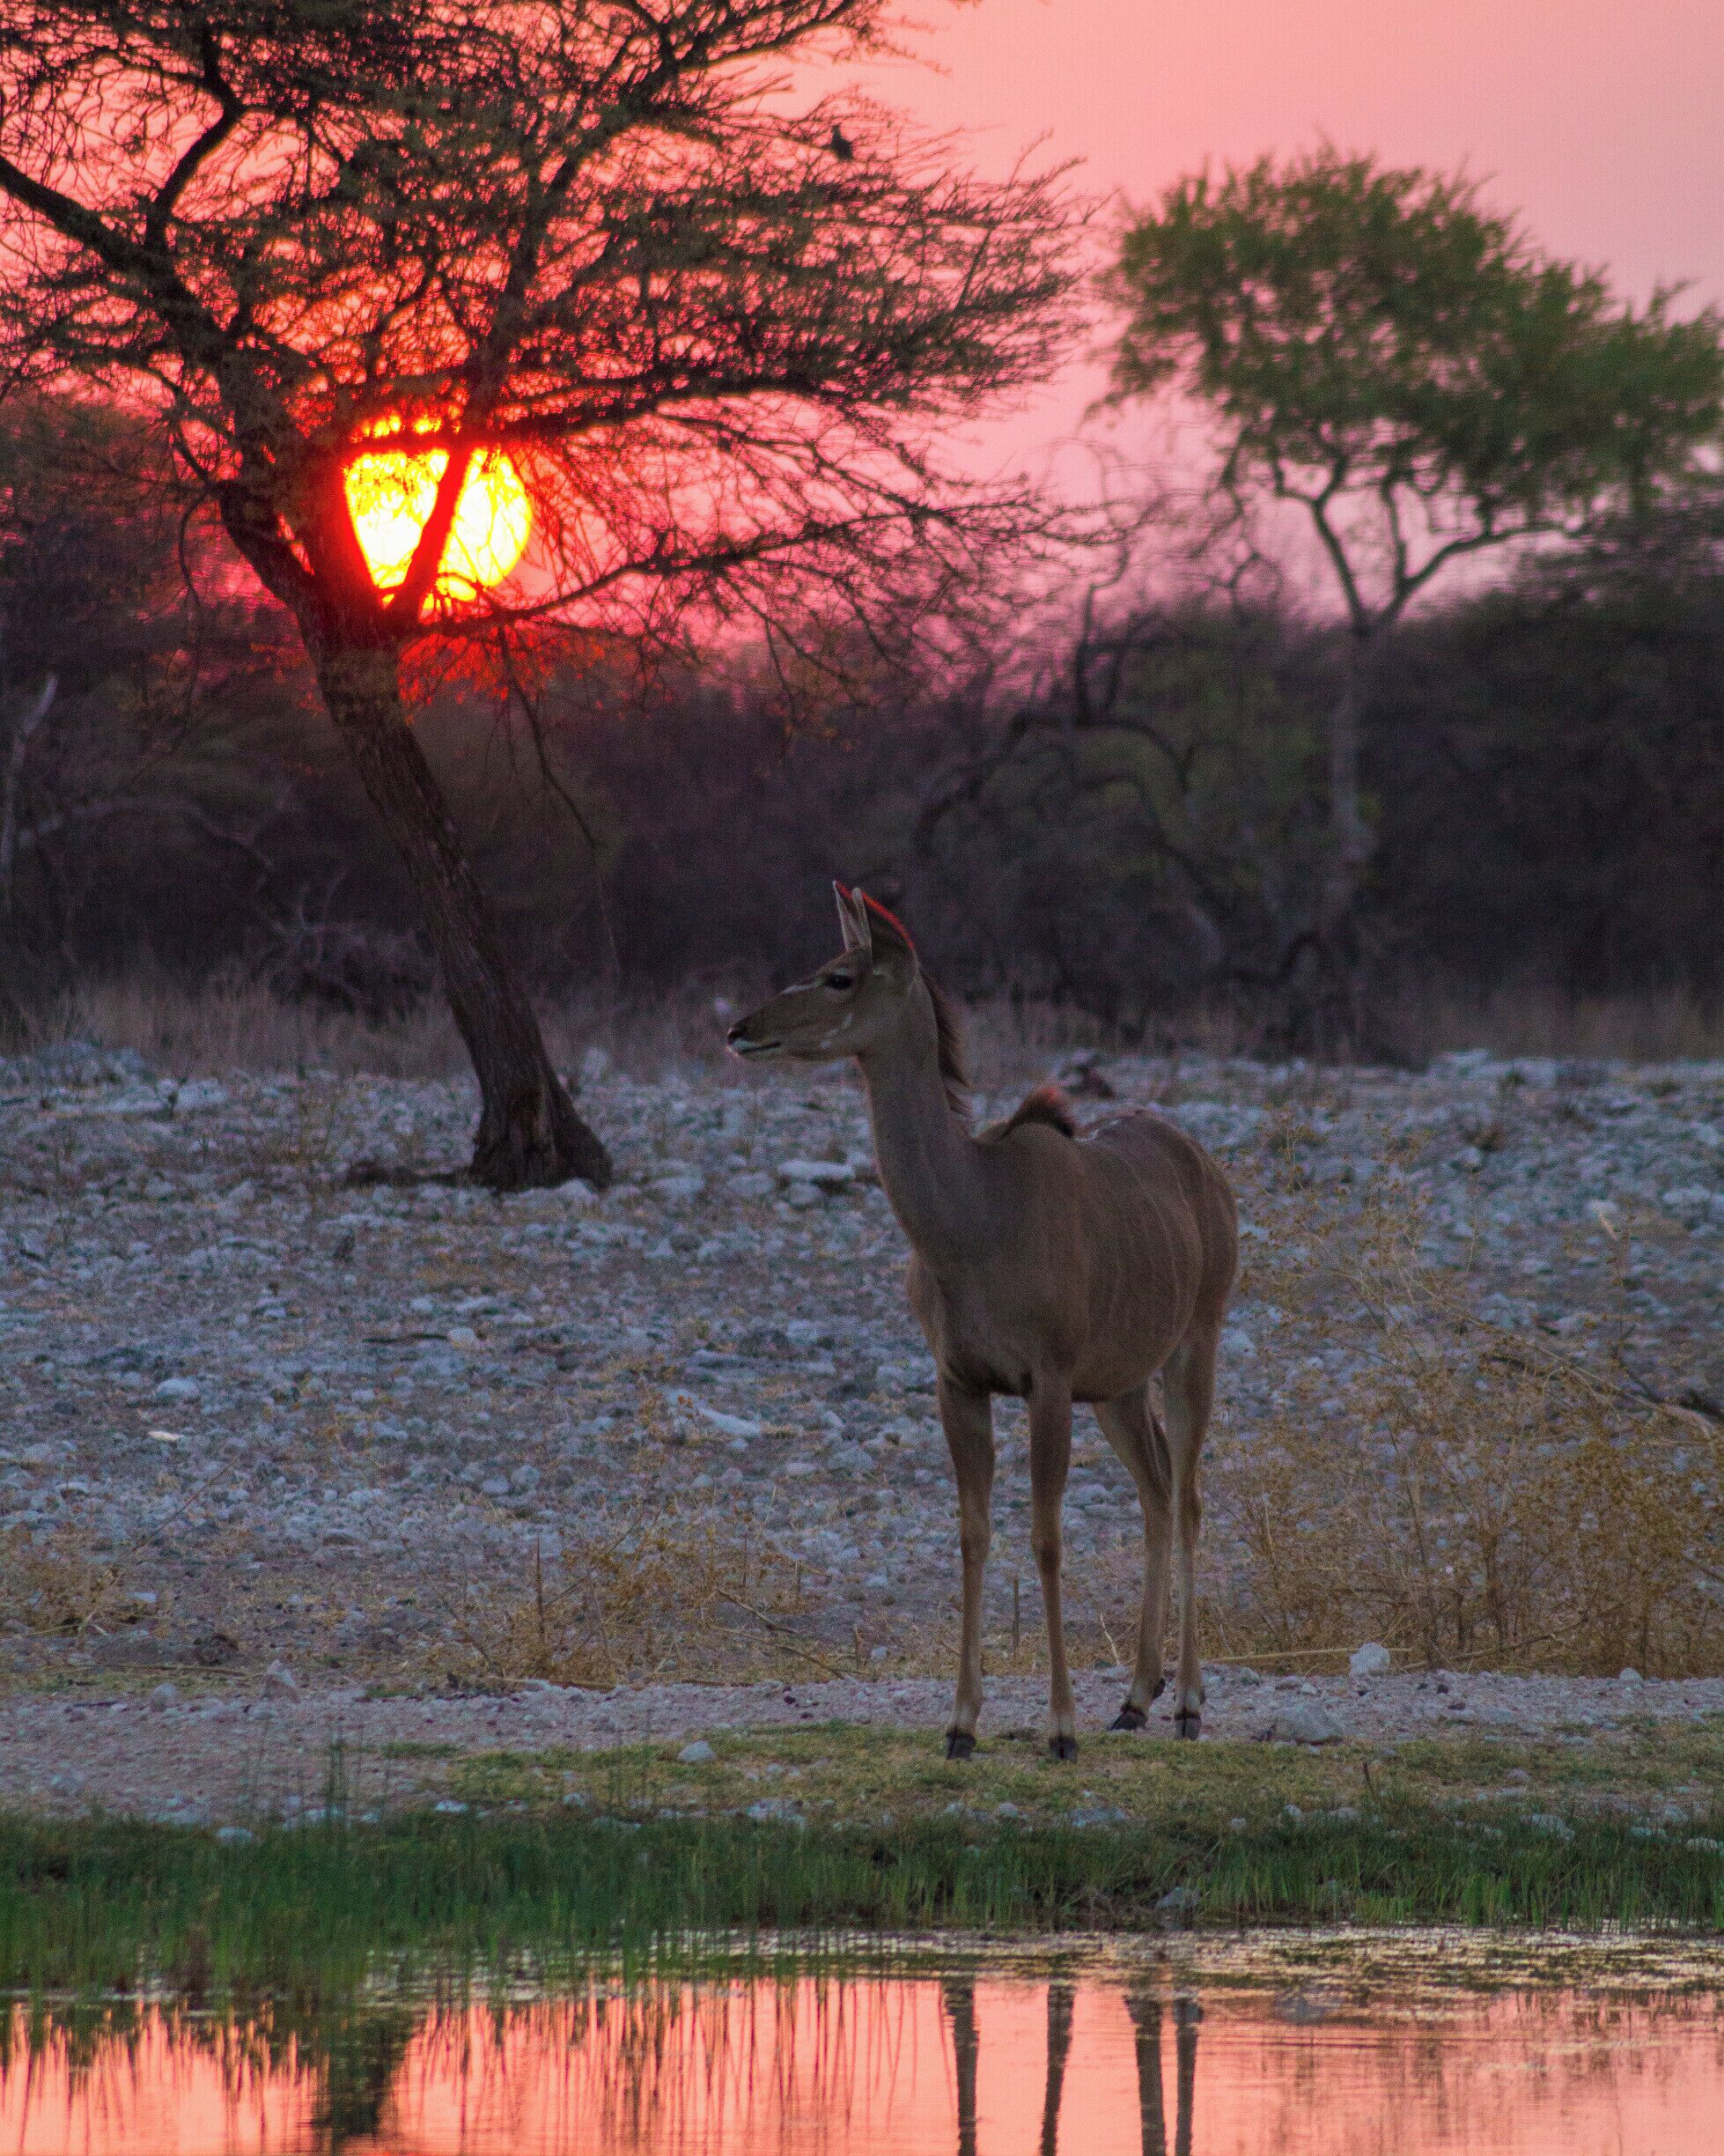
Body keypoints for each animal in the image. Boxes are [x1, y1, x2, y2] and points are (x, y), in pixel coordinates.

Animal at [727, 885, 1238, 1760]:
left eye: (839, 975)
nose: (741, 1029)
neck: (973, 1223)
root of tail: (1211, 1173)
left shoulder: (1048, 1381)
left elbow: (1047, 1538)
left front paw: (1060, 1729)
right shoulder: (960, 1382)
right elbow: (973, 1534)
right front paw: (961, 1725)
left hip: (1191, 1346)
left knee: (1190, 1496)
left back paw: (1189, 1707)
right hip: (1119, 1386)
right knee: (1156, 1489)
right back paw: (1134, 1699)